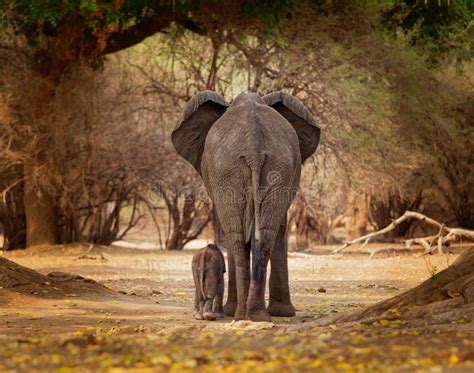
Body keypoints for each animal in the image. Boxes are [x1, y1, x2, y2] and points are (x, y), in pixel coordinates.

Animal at [172, 91, 320, 320]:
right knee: (257, 236)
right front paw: (282, 314)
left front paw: (283, 313)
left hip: (237, 169)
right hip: (262, 167)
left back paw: (244, 314)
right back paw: (252, 316)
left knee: (238, 237)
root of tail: (254, 149)